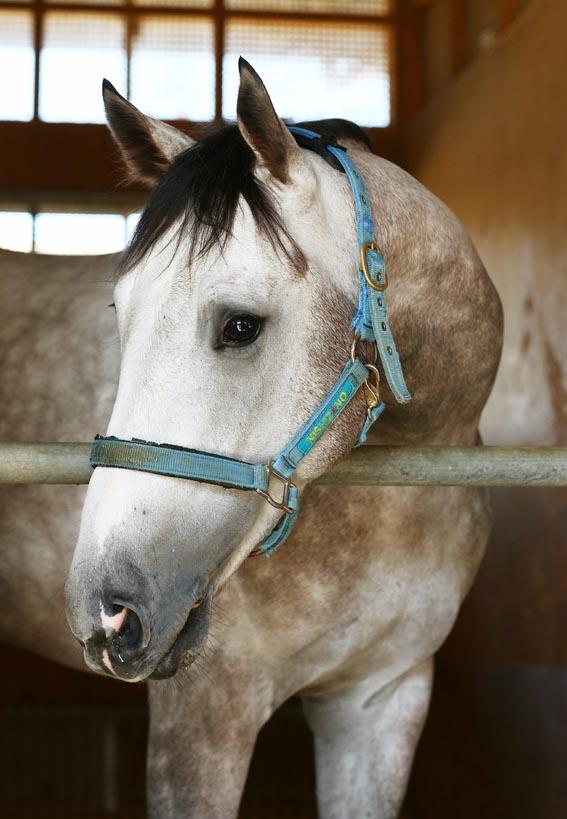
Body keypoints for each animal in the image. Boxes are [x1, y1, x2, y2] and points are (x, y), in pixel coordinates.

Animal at [1, 59, 506, 819]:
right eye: (119, 311)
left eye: (240, 326)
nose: (105, 609)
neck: (391, 506)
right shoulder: (204, 719)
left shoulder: (380, 701)